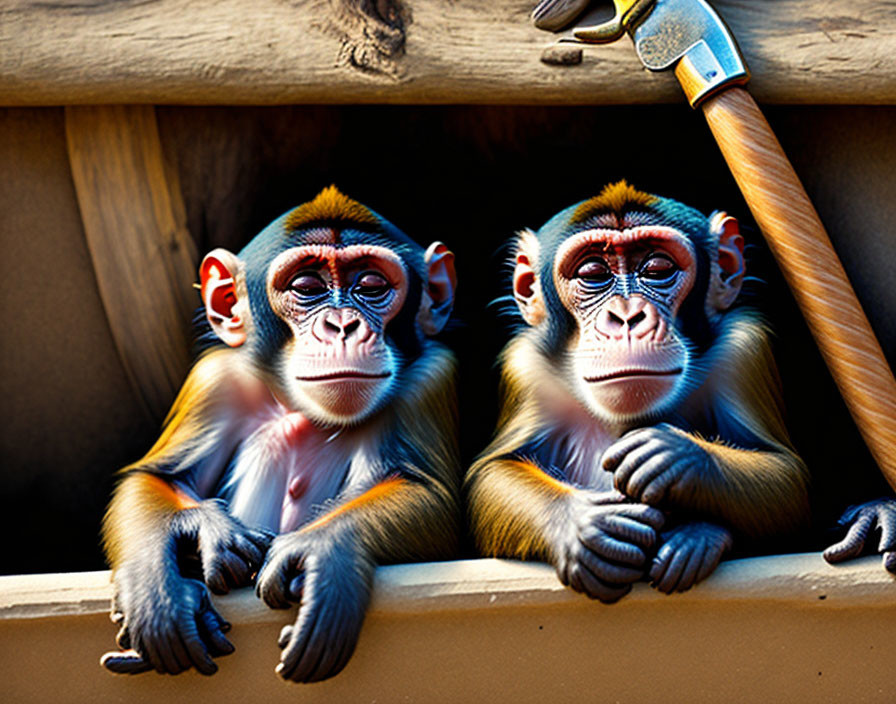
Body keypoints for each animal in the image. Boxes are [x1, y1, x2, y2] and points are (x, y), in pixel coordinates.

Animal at [101, 187, 458, 680]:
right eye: (306, 288)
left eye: (371, 286)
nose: (342, 325)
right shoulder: (216, 380)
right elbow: (158, 477)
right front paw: (157, 587)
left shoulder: (431, 376)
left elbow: (426, 492)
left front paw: (326, 551)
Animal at [466, 180, 808, 600]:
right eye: (593, 272)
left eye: (658, 268)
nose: (627, 316)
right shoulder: (526, 368)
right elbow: (492, 472)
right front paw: (585, 528)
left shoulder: (744, 349)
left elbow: (788, 477)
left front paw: (673, 456)